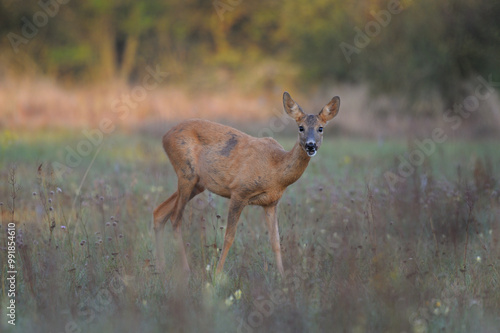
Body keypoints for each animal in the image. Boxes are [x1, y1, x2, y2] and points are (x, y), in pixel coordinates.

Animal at [152, 91, 340, 274]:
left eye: (320, 128)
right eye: (301, 127)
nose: (310, 145)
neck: (276, 170)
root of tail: (164, 137)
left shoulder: (271, 203)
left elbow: (275, 241)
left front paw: (281, 276)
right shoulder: (239, 191)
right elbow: (229, 237)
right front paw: (217, 275)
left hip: (198, 183)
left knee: (160, 212)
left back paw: (161, 267)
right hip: (186, 172)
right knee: (175, 218)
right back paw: (185, 270)